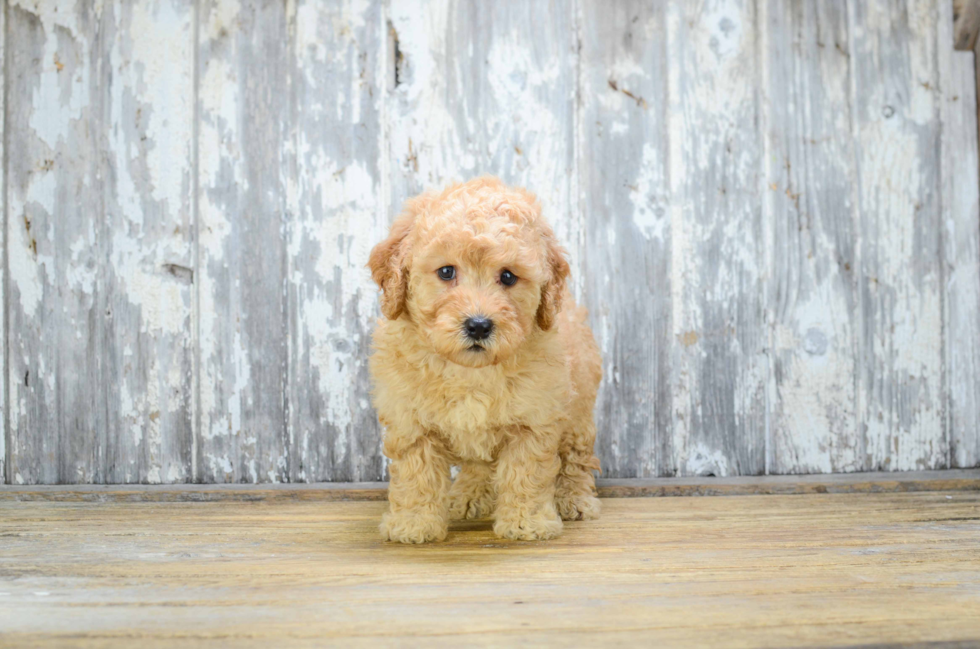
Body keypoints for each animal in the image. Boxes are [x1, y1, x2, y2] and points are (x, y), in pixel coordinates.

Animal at [366, 176, 600, 540]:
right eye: (446, 272)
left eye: (508, 276)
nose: (478, 325)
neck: (470, 371)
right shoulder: (410, 421)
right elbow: (416, 474)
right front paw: (414, 524)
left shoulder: (534, 420)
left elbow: (527, 472)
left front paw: (527, 522)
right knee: (479, 462)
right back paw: (469, 495)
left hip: (578, 410)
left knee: (576, 457)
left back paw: (574, 498)